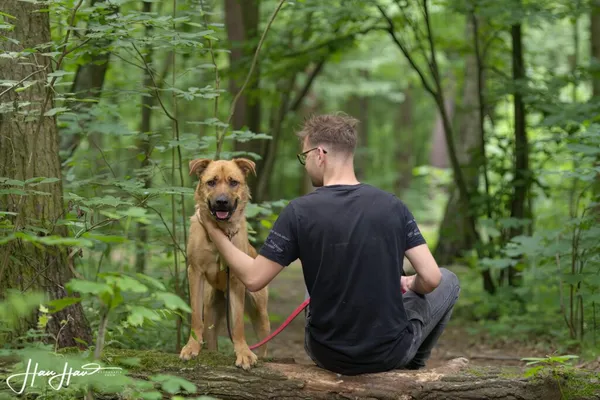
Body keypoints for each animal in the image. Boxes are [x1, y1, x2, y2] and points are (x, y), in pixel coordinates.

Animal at [179, 158, 270, 370]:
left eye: (233, 182)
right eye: (211, 182)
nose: (221, 201)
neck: (220, 232)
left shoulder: (236, 280)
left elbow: (237, 325)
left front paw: (243, 352)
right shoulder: (195, 273)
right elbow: (195, 318)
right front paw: (191, 347)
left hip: (260, 312)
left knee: (264, 341)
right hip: (211, 312)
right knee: (210, 335)